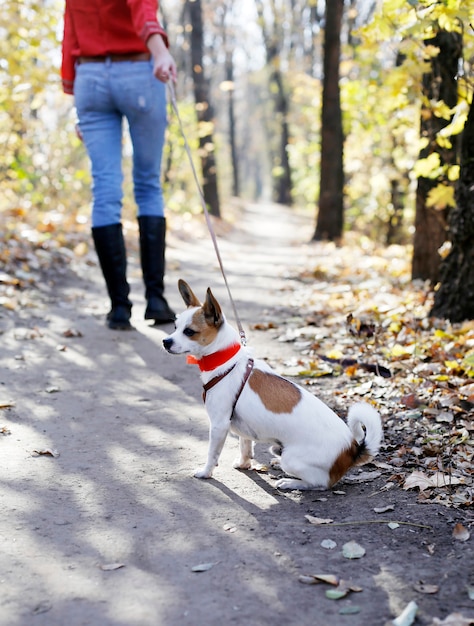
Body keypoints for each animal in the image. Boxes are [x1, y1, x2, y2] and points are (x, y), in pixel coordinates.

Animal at [162, 280, 382, 490]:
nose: (165, 341)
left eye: (189, 331)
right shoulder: (241, 427)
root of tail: (352, 449)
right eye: (175, 327)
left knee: (321, 483)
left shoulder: (218, 425)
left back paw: (291, 483)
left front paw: (206, 472)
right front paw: (244, 463)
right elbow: (245, 445)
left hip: (292, 460)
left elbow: (212, 454)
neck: (226, 360)